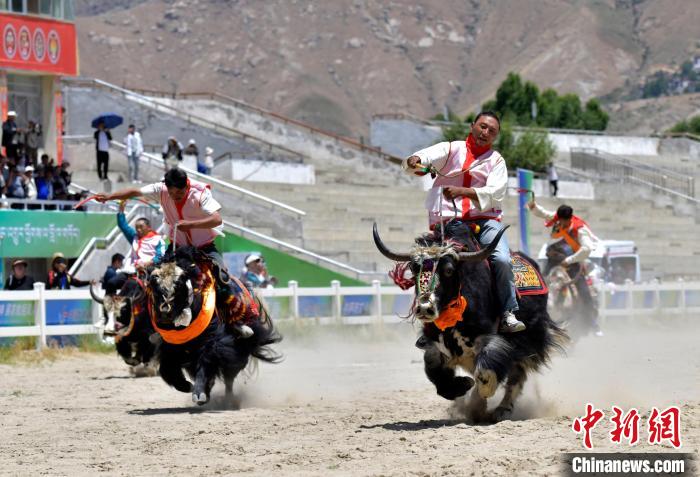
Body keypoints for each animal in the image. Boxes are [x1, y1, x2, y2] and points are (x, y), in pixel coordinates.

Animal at [147, 246, 282, 405]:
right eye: (154, 283)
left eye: (179, 283)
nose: (164, 312)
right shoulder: (170, 347)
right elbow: (167, 369)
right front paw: (186, 386)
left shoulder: (214, 343)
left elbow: (206, 363)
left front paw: (198, 394)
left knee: (229, 378)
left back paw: (228, 399)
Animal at [374, 220, 568, 423]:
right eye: (413, 268)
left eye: (449, 270)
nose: (425, 307)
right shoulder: (435, 344)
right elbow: (435, 371)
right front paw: (464, 385)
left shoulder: (492, 339)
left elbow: (486, 371)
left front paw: (480, 397)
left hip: (530, 337)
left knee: (517, 376)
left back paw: (500, 410)